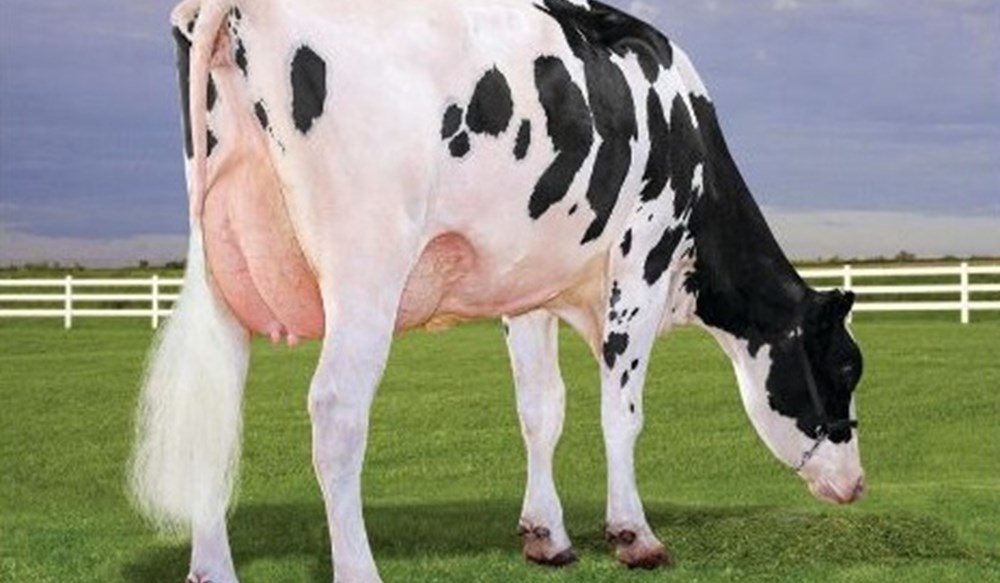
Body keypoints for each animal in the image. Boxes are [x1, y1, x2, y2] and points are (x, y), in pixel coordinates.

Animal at [130, 0, 866, 581]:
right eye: (845, 367)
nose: (857, 484)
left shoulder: (527, 288)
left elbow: (541, 408)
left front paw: (547, 534)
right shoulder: (644, 258)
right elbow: (620, 411)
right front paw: (635, 535)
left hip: (221, 265)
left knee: (214, 408)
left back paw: (212, 569)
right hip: (367, 265)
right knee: (336, 410)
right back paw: (358, 569)